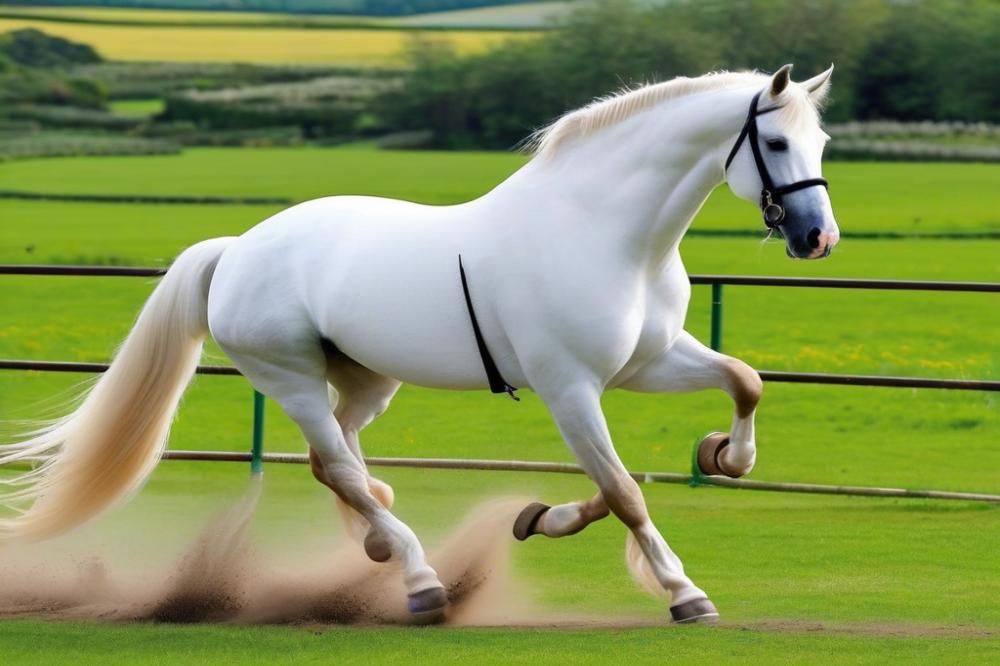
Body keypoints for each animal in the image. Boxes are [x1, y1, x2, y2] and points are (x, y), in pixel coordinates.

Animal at [1, 65, 836, 620]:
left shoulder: (648, 363)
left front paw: (717, 458)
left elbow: (742, 382)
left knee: (338, 464)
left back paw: (379, 543)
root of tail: (237, 249)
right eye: (773, 140)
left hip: (367, 380)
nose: (817, 239)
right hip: (292, 380)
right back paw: (419, 579)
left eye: (822, 139)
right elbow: (625, 489)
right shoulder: (570, 387)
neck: (606, 235)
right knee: (336, 463)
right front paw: (683, 592)